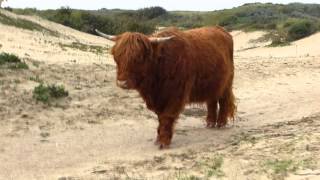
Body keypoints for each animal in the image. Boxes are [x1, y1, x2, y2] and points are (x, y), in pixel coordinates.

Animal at [96, 26, 236, 148]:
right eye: (116, 57)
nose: (122, 83)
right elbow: (160, 117)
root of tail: (222, 30)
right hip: (212, 84)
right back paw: (210, 123)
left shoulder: (176, 95)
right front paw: (158, 139)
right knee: (211, 101)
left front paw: (163, 141)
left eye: (139, 58)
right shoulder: (159, 98)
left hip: (226, 83)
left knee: (223, 101)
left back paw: (221, 124)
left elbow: (166, 117)